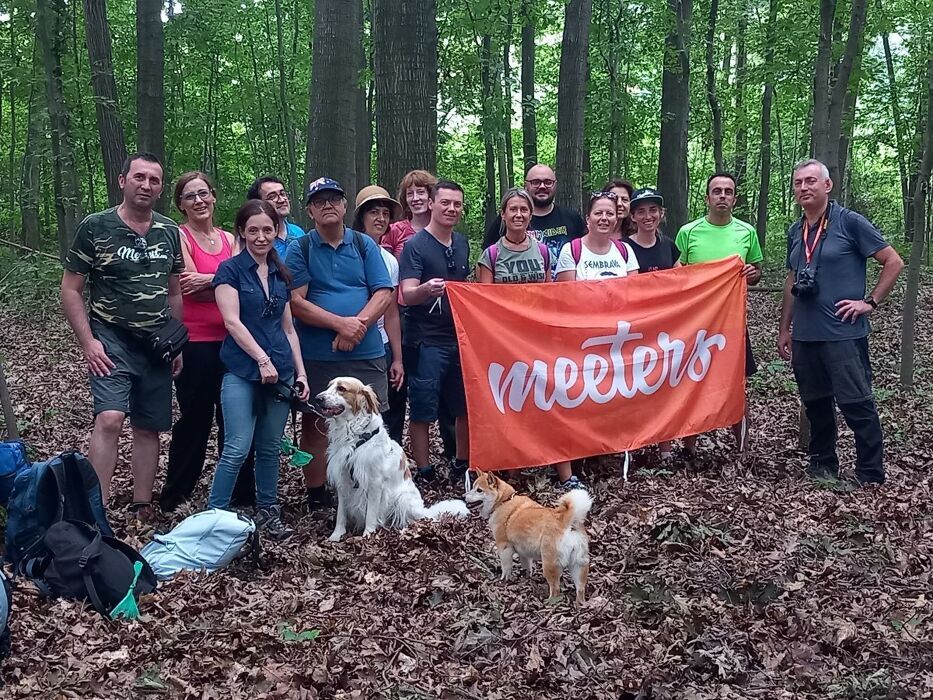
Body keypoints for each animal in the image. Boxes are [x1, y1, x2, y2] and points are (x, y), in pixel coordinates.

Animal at [316, 378, 470, 540]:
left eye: (341, 388)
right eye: (328, 386)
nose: (318, 398)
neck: (354, 436)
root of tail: (422, 509)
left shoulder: (374, 483)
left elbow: (370, 514)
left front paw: (368, 535)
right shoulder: (343, 480)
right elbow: (341, 513)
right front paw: (336, 535)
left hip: (401, 498)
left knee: (414, 519)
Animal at [464, 470, 588, 608]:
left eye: (479, 490)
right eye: (472, 487)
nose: (464, 496)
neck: (503, 501)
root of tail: (565, 521)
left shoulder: (504, 546)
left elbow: (506, 567)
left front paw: (503, 580)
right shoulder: (524, 551)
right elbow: (527, 566)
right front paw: (527, 577)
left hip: (549, 564)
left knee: (555, 589)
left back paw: (549, 603)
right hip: (578, 566)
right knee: (580, 589)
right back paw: (580, 605)